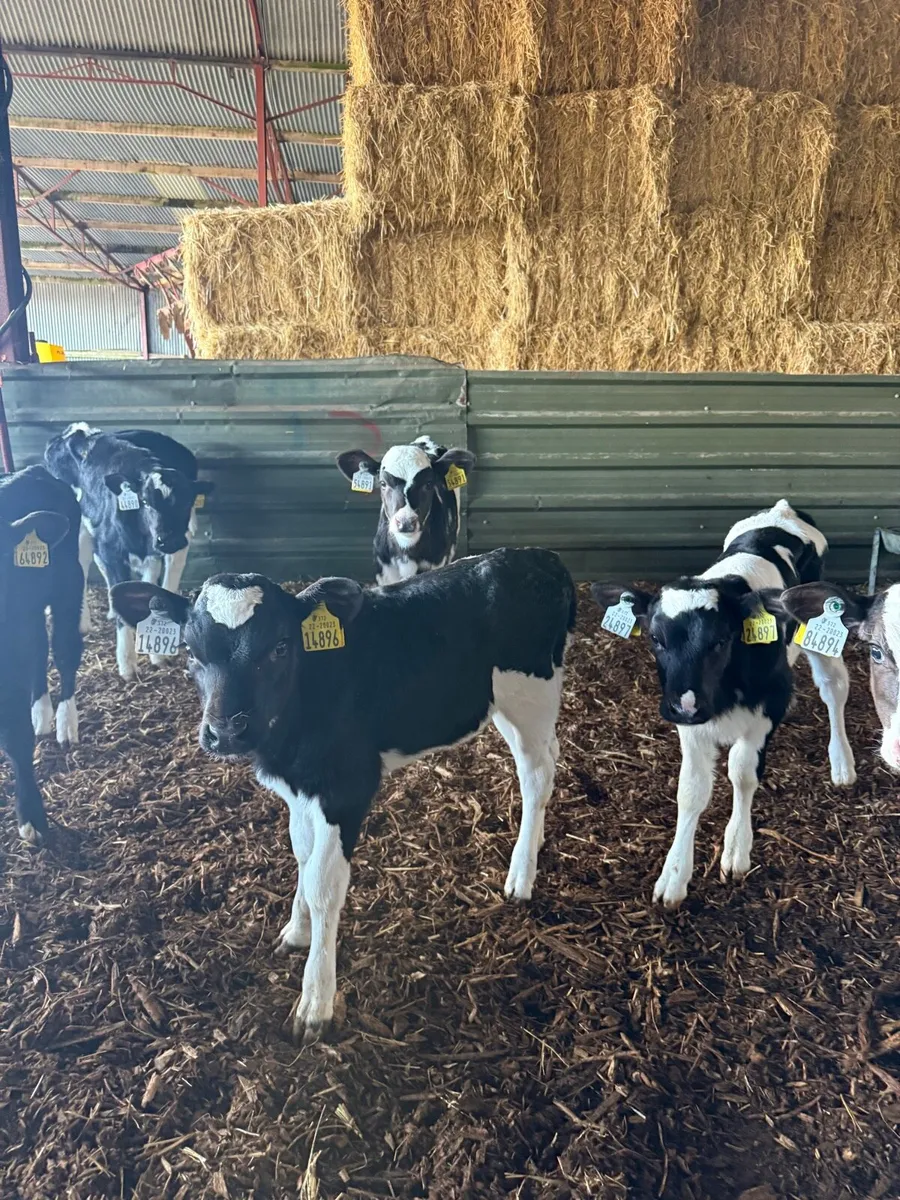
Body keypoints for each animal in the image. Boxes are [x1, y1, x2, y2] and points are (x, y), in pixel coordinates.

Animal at [110, 546, 576, 1040]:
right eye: (189, 650)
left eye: (280, 647)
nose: (226, 732)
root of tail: (538, 556)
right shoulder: (299, 787)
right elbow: (302, 853)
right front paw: (297, 930)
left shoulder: (347, 788)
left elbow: (323, 882)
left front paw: (315, 1001)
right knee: (551, 754)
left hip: (530, 694)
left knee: (536, 774)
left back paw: (521, 874)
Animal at [591, 500, 855, 907]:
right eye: (655, 638)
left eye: (720, 640)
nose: (684, 705)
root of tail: (783, 510)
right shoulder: (690, 722)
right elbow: (691, 790)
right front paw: (674, 874)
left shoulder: (769, 705)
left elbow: (743, 771)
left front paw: (736, 848)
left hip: (817, 629)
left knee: (834, 687)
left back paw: (842, 762)